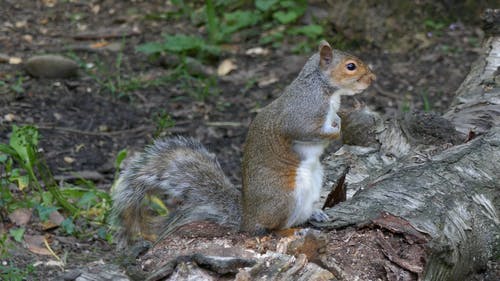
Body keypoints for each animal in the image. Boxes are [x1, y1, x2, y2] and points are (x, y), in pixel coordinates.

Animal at [109, 39, 376, 245]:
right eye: (350, 66)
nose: (372, 79)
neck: (323, 89)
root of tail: (247, 217)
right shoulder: (301, 115)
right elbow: (309, 131)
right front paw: (336, 130)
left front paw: (339, 121)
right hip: (283, 197)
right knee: (272, 228)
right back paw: (289, 231)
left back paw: (315, 215)